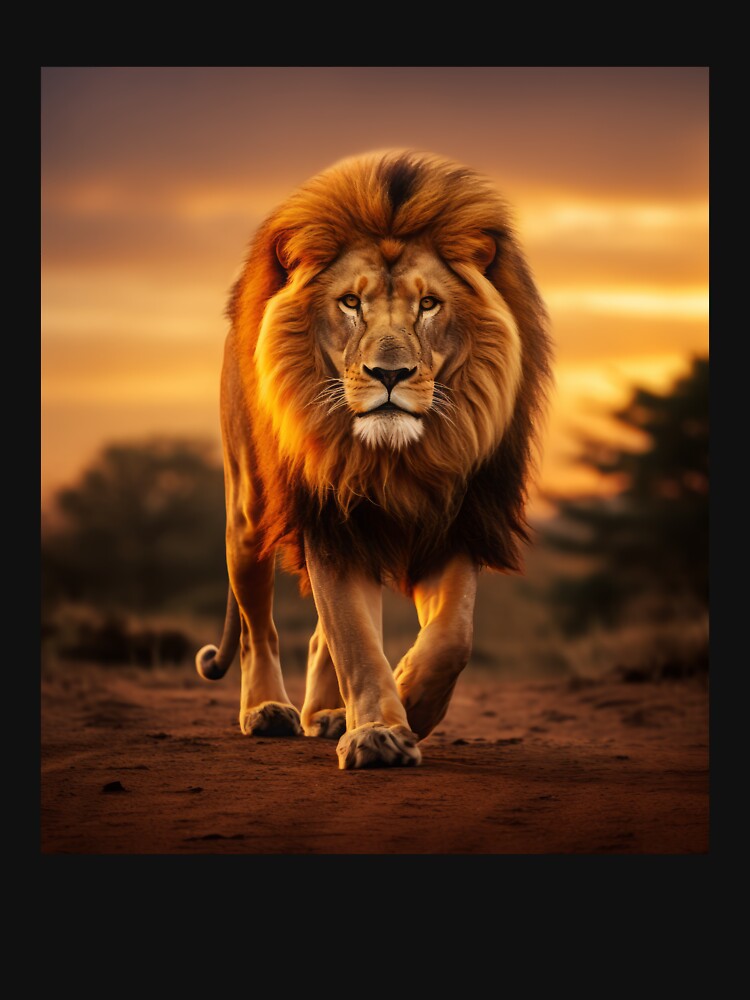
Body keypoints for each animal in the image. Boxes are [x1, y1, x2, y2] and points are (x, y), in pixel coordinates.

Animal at [195, 149, 553, 769]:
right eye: (350, 303)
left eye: (428, 304)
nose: (391, 374)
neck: (394, 460)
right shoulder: (330, 518)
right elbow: (355, 639)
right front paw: (380, 734)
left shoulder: (457, 516)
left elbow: (452, 638)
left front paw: (410, 704)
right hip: (247, 514)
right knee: (257, 625)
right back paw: (267, 710)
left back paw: (328, 713)